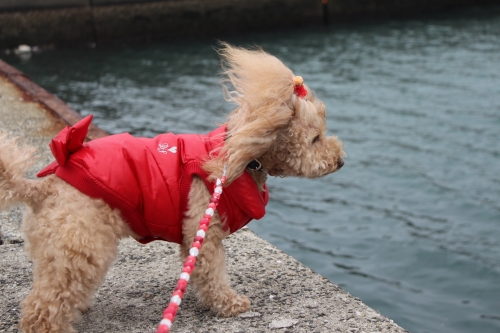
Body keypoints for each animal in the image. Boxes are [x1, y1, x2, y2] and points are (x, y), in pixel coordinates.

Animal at [0, 42, 344, 330]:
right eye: (315, 139)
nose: (341, 160)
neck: (238, 157)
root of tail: (42, 188)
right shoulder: (203, 230)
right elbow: (212, 272)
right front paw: (230, 304)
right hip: (80, 242)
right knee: (42, 306)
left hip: (61, 248)